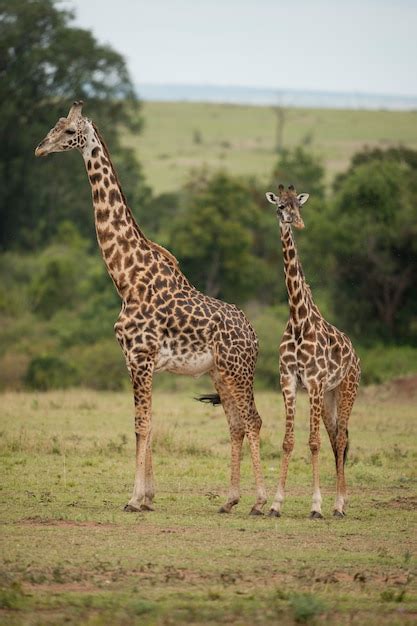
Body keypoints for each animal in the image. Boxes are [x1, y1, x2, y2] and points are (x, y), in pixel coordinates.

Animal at [34, 100, 264, 512]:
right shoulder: (135, 360)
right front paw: (148, 497)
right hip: (220, 373)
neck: (126, 278)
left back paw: (263, 502)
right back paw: (230, 500)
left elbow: (140, 424)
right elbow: (149, 423)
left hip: (238, 372)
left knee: (253, 421)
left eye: (68, 131)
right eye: (54, 126)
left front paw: (134, 498)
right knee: (237, 423)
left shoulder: (140, 357)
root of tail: (255, 337)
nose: (39, 149)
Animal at [264, 184, 360, 516]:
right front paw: (276, 503)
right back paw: (340, 501)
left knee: (341, 439)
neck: (298, 319)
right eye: (280, 206)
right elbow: (289, 441)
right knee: (336, 437)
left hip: (345, 389)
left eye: (299, 205)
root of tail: (356, 354)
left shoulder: (315, 382)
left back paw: (339, 505)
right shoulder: (289, 381)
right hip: (329, 396)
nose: (297, 222)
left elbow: (313, 442)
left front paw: (316, 505)